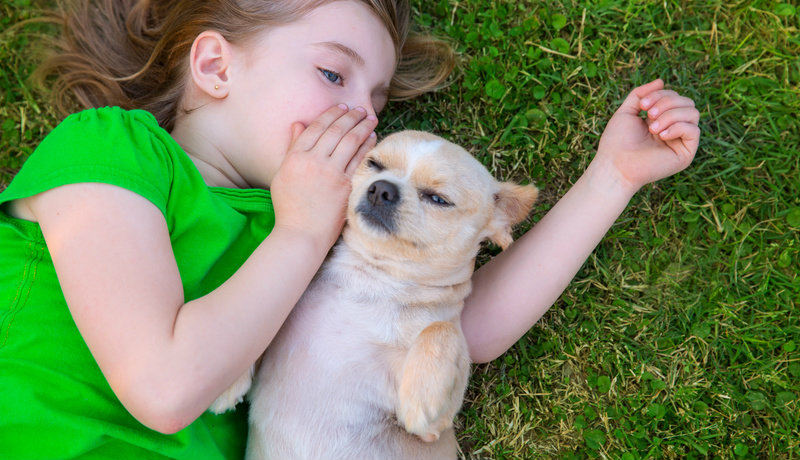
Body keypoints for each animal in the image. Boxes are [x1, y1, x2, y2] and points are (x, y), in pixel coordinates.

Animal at [211, 130, 536, 460]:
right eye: (374, 164)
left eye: (438, 199)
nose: (382, 188)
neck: (372, 280)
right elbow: (259, 321)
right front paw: (228, 379)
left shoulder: (435, 428)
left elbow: (440, 329)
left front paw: (422, 397)